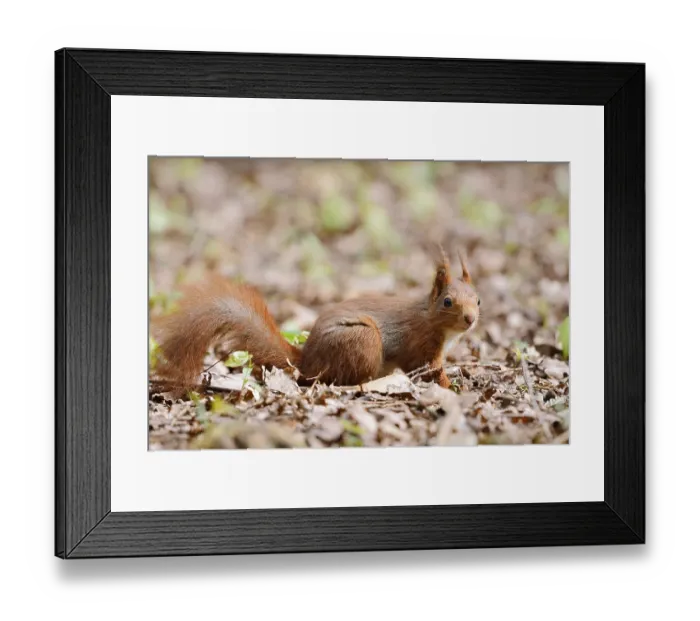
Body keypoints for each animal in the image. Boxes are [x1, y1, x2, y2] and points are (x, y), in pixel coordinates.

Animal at [151, 247, 480, 390]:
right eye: (447, 302)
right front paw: (453, 385)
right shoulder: (421, 346)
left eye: (478, 299)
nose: (471, 319)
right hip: (362, 340)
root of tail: (306, 360)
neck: (430, 317)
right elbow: (429, 370)